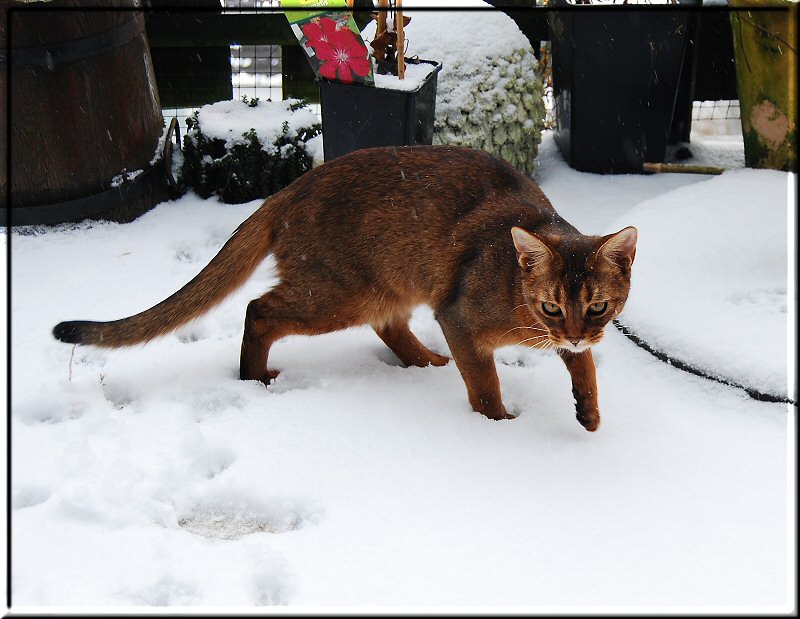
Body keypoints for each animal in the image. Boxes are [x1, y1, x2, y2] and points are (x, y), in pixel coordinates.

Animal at [51, 145, 636, 432]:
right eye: (551, 307)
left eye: (599, 307)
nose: (575, 332)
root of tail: (289, 188)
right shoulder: (460, 318)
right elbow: (486, 386)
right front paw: (499, 429)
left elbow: (585, 368)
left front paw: (589, 414)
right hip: (338, 296)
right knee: (259, 309)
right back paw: (255, 377)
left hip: (386, 286)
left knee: (388, 326)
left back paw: (427, 364)